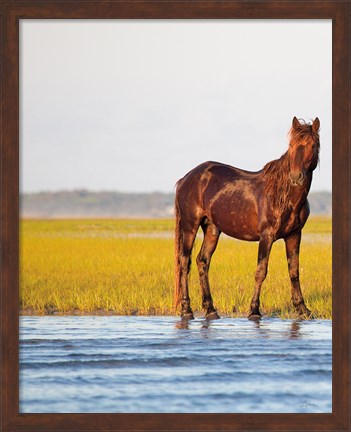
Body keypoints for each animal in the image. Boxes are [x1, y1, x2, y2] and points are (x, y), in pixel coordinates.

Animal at [175, 117, 320, 320]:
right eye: (291, 145)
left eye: (313, 145)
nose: (296, 176)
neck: (284, 195)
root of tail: (186, 178)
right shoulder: (267, 236)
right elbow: (261, 271)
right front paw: (254, 310)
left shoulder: (294, 235)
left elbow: (294, 271)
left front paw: (303, 309)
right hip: (190, 226)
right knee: (184, 262)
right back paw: (186, 309)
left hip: (211, 229)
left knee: (202, 261)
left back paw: (211, 309)